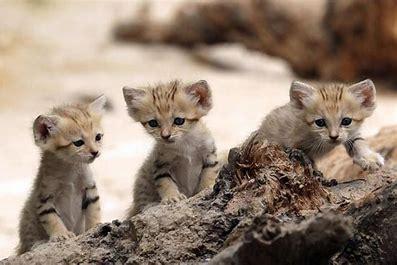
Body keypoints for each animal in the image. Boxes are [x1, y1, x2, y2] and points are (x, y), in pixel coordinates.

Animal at [17, 95, 105, 254]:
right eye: (78, 143)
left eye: (98, 137)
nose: (95, 152)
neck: (71, 170)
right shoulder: (44, 198)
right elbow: (51, 218)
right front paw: (61, 234)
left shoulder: (90, 188)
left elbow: (94, 210)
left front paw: (95, 226)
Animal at [122, 79, 220, 216]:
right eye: (153, 123)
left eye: (179, 121)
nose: (165, 136)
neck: (185, 144)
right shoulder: (161, 165)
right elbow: (165, 182)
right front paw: (171, 197)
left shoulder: (209, 154)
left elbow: (210, 173)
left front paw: (206, 188)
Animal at [251, 78, 384, 169]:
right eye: (320, 122)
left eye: (346, 121)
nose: (334, 136)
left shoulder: (351, 134)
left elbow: (358, 142)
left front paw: (368, 158)